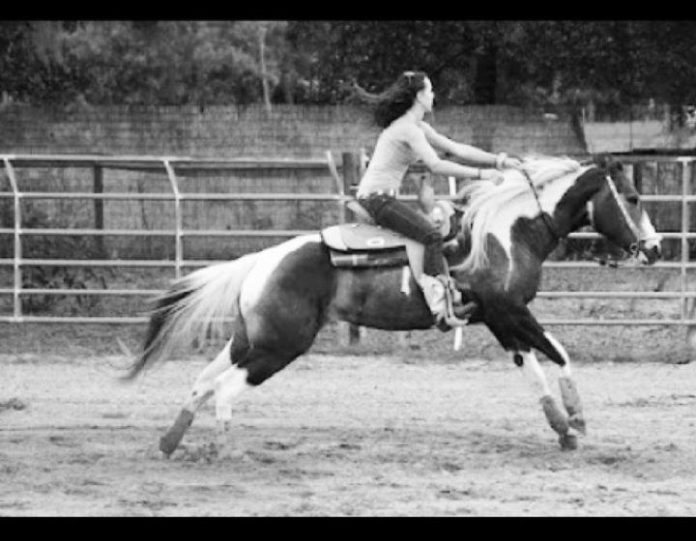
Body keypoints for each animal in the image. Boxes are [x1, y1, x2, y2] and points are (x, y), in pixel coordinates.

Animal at [122, 154, 660, 454]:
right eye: (632, 198)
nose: (654, 249)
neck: (506, 232)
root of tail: (263, 260)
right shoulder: (512, 312)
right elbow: (561, 354)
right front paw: (578, 419)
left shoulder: (500, 320)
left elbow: (533, 368)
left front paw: (563, 428)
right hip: (279, 347)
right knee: (225, 389)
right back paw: (219, 450)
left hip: (249, 338)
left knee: (202, 382)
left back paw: (170, 443)